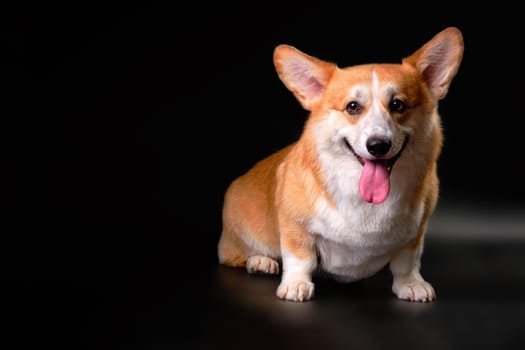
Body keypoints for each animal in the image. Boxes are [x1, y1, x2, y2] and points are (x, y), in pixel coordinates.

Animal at [217, 27, 462, 302]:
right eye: (352, 107)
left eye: (398, 104)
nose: (378, 145)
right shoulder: (295, 225)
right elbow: (299, 256)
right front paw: (296, 284)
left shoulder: (416, 233)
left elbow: (407, 262)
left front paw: (411, 283)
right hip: (237, 239)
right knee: (236, 256)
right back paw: (260, 261)